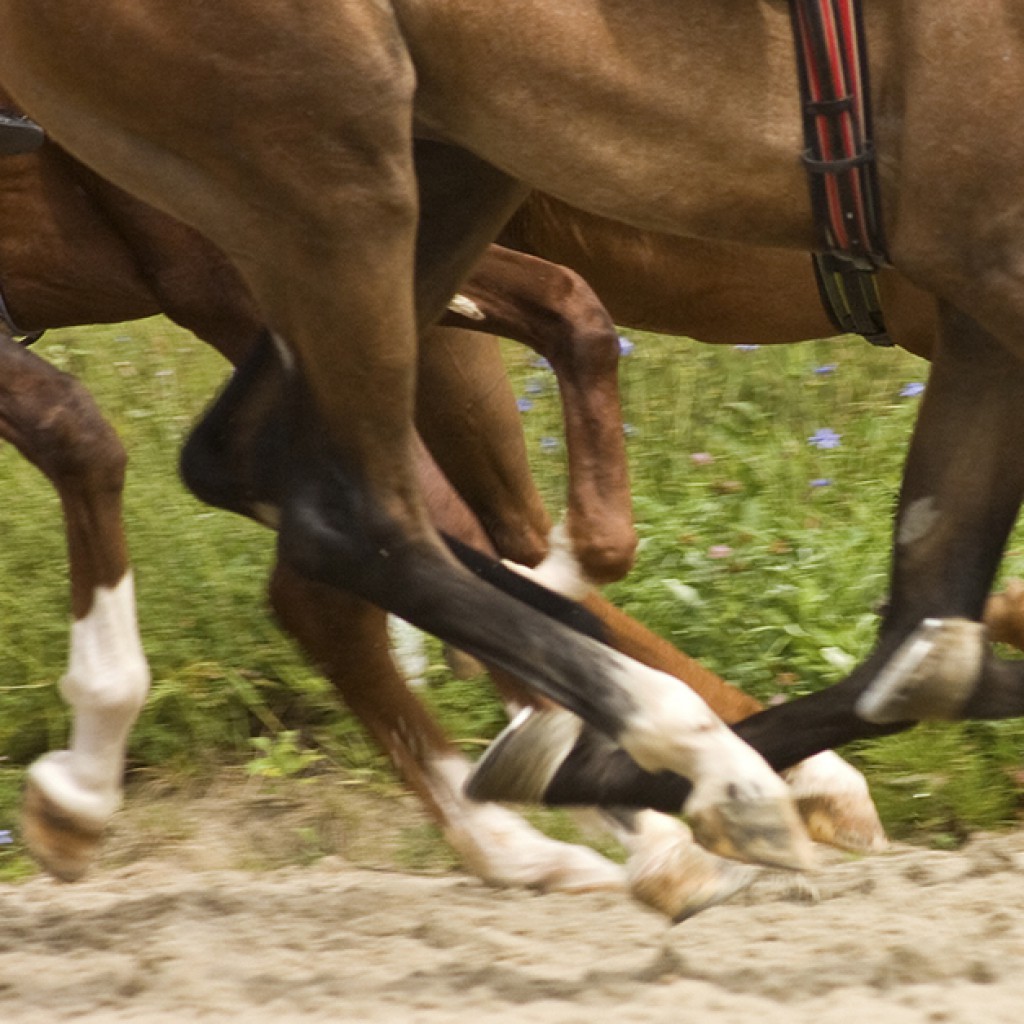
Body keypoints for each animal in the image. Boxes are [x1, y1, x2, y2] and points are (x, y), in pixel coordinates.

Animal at [4, 0, 1024, 872]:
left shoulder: (976, 305)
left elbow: (924, 633)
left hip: (418, 180)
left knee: (283, 487)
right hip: (330, 173)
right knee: (347, 523)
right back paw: (647, 764)